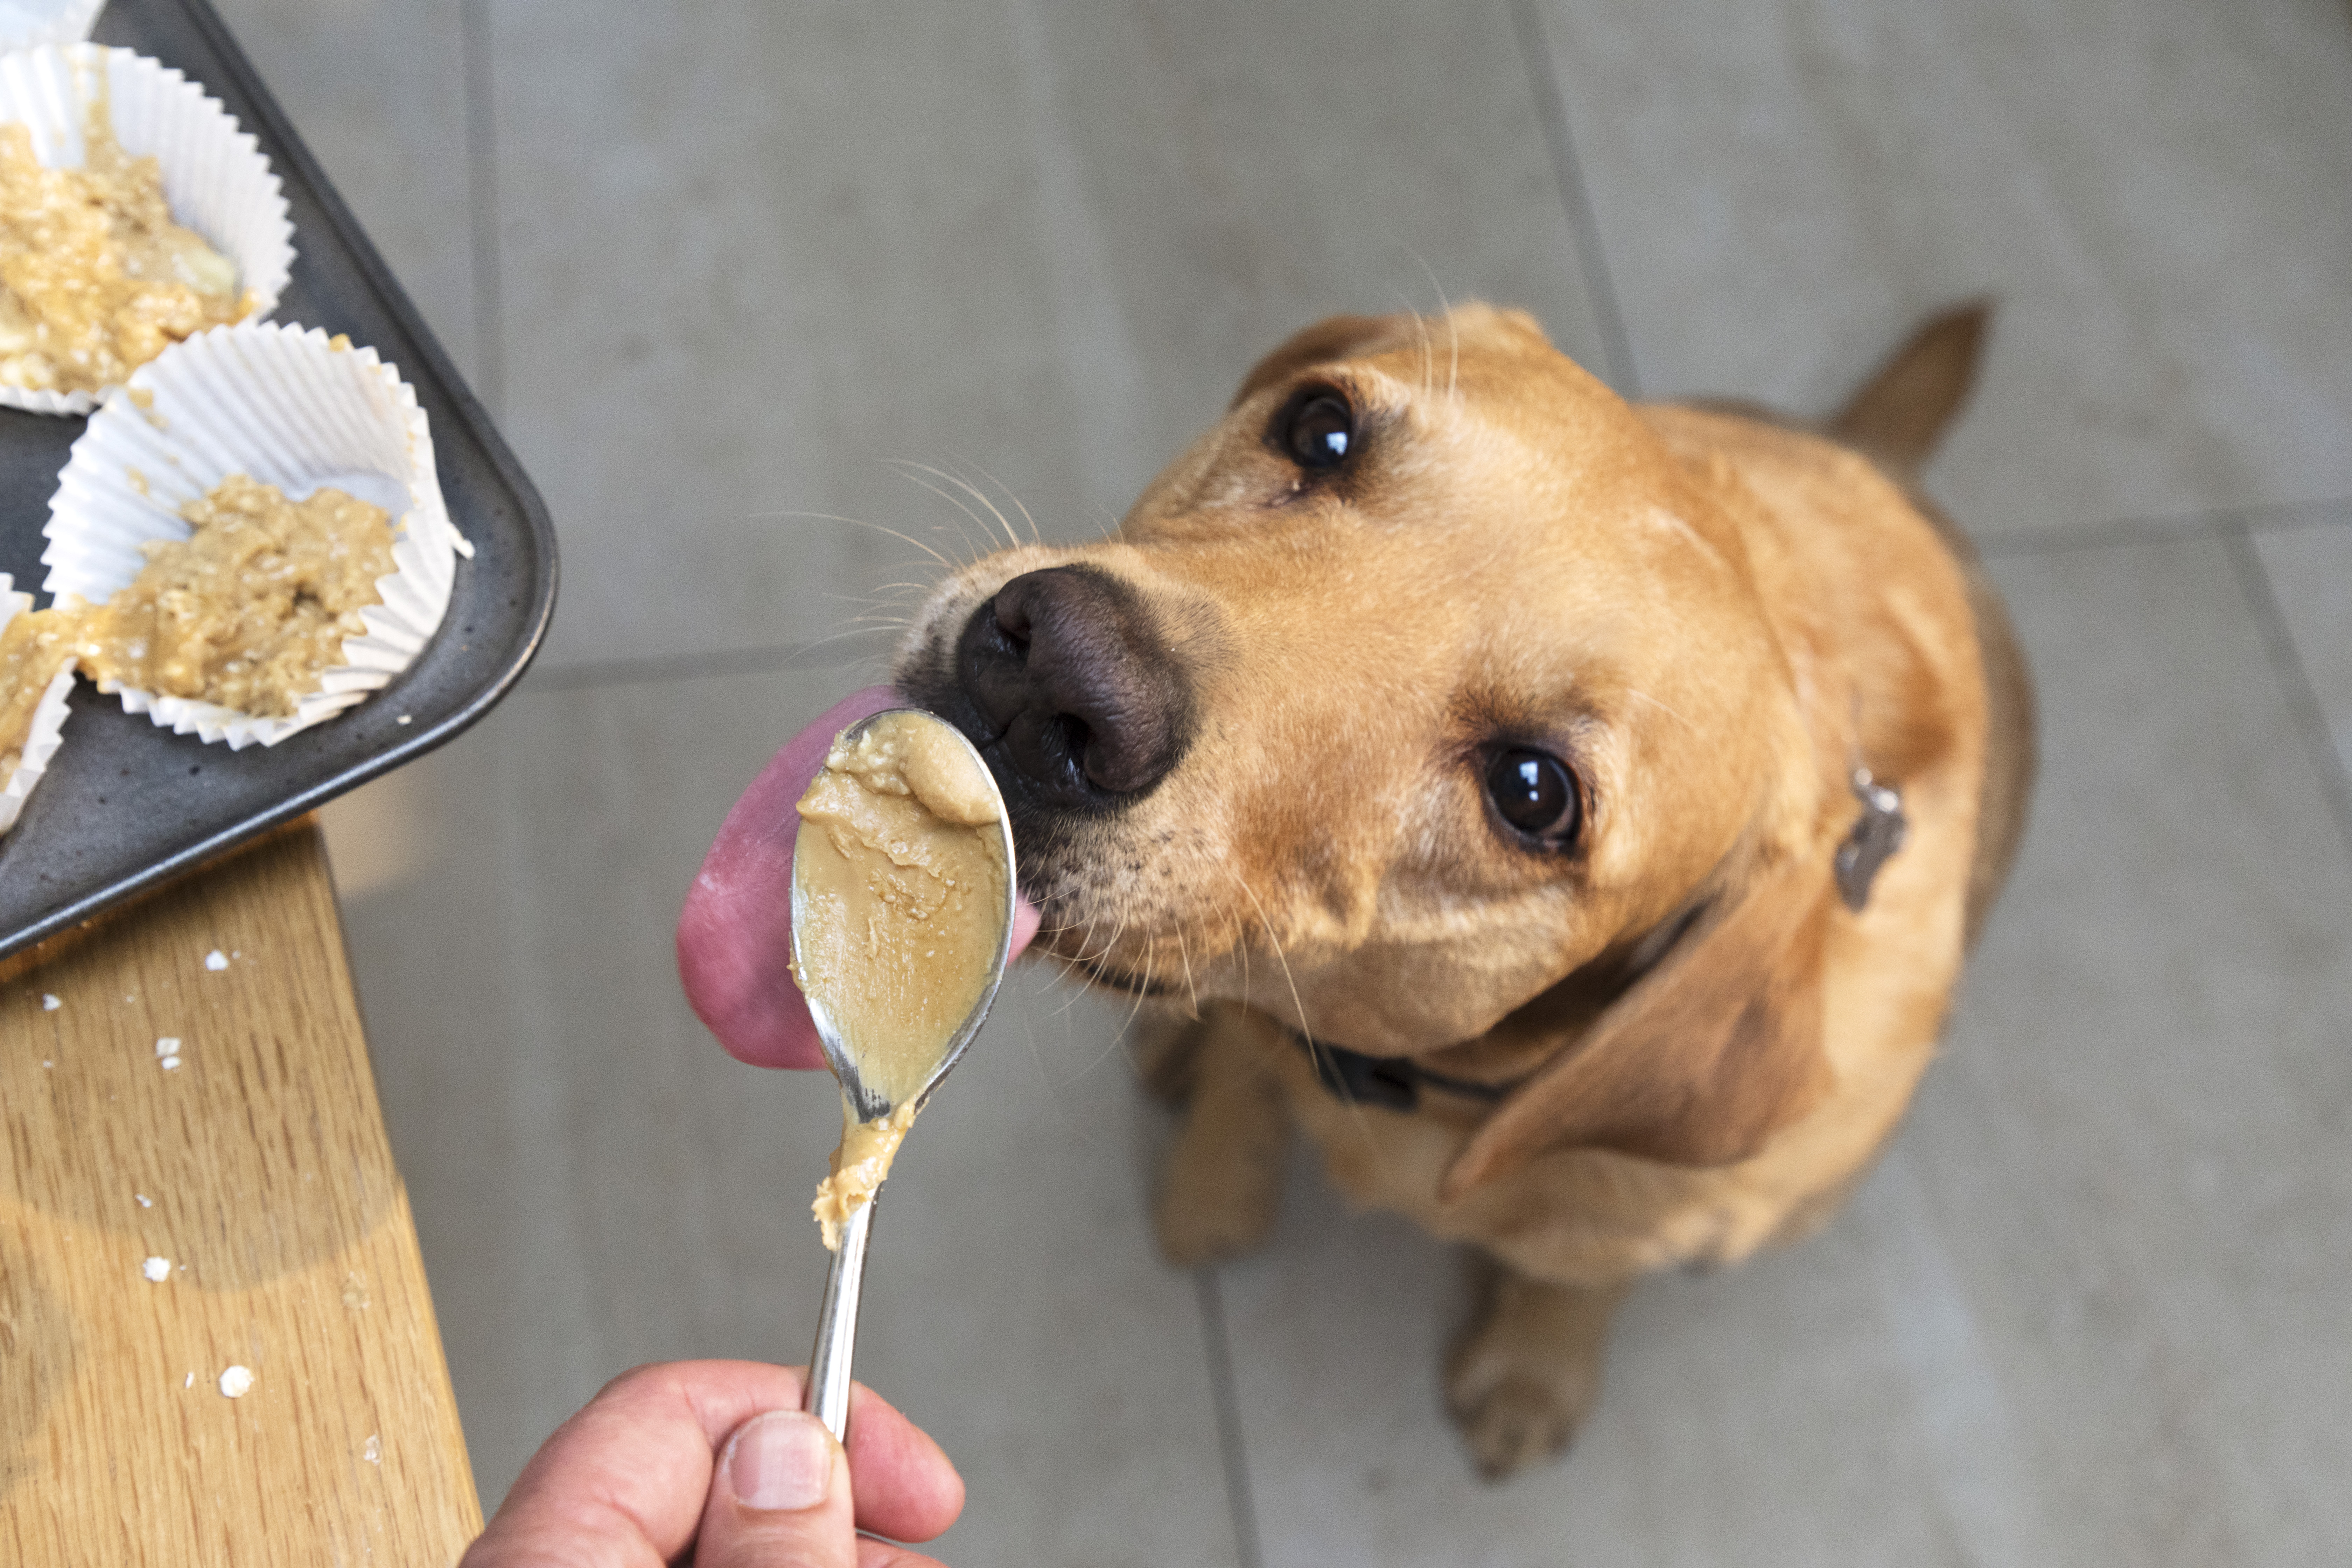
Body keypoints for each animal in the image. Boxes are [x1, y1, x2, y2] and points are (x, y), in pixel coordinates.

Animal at [889, 301, 2032, 1476]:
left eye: (1532, 792)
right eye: (1321, 428)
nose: (1054, 674)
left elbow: (1577, 1274)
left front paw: (1534, 1366)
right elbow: (1242, 1082)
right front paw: (1215, 1178)